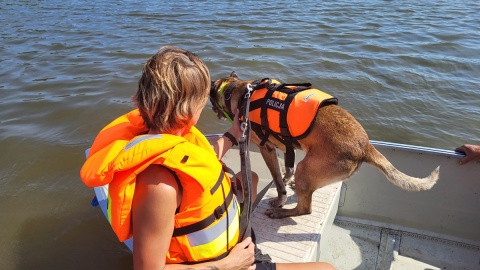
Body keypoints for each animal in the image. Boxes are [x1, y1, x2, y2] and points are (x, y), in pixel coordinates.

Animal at [210, 71, 438, 219]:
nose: (214, 113)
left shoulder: (267, 149)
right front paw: (287, 179)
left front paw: (279, 198)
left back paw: (281, 212)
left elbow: (278, 180)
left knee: (305, 209)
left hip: (306, 168)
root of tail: (364, 145)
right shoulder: (286, 147)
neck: (238, 90)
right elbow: (287, 169)